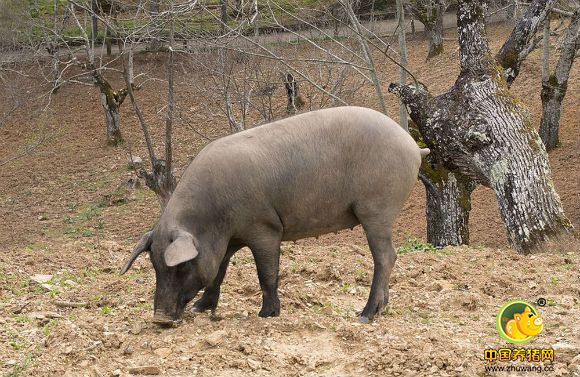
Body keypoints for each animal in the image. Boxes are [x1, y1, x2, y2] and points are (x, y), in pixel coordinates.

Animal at [121, 105, 430, 324]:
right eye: (155, 265)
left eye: (181, 266)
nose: (160, 319)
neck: (213, 220)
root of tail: (413, 145)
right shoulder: (230, 240)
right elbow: (219, 271)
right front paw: (200, 309)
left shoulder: (264, 227)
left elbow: (266, 272)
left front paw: (266, 314)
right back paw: (380, 310)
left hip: (377, 209)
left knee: (386, 256)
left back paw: (364, 316)